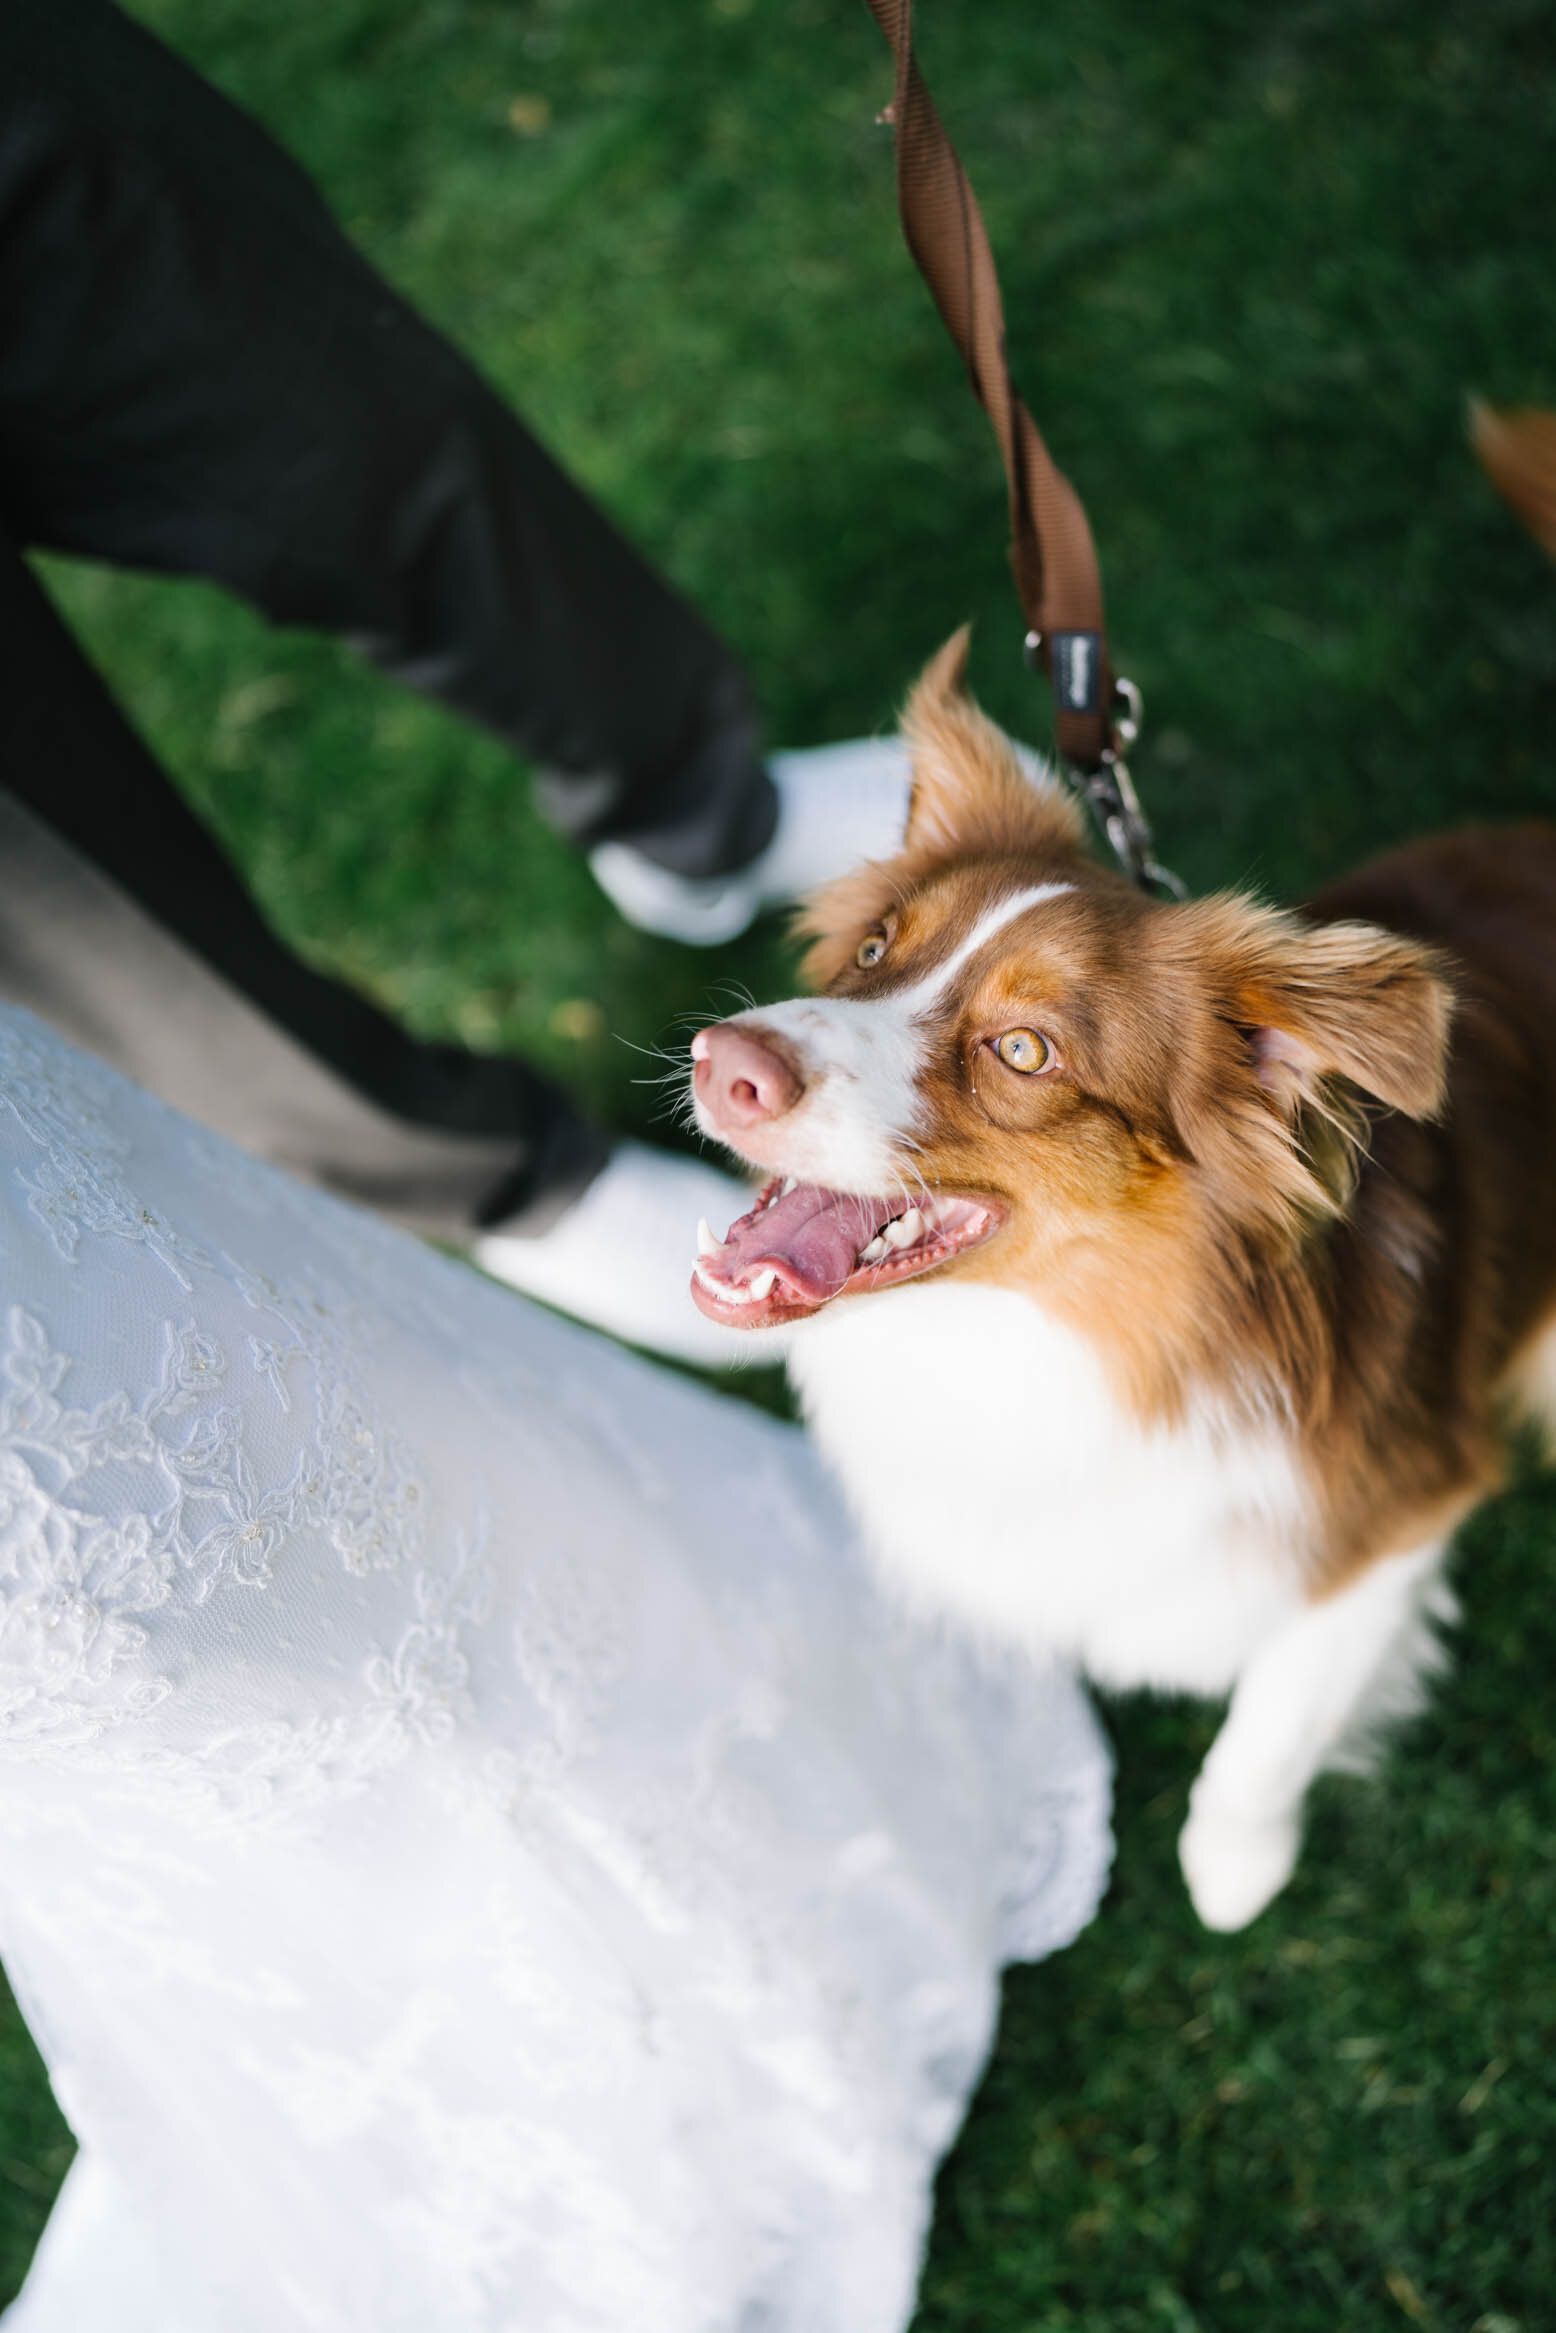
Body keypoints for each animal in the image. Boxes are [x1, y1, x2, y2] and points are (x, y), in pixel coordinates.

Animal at [685, 429, 1556, 1922]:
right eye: (877, 951)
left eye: (1025, 1049)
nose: (721, 1059)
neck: (1055, 1341)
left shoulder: (1400, 1504)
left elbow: (1270, 1717)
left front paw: (1233, 1868)